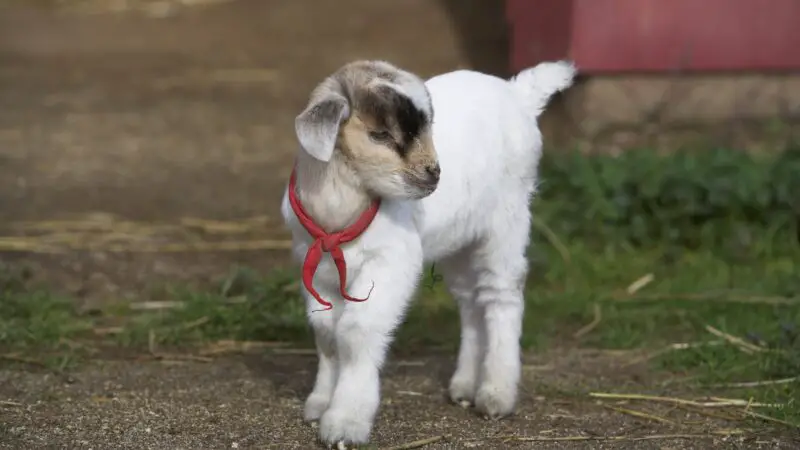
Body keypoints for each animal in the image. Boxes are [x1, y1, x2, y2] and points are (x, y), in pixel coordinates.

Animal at [282, 59, 576, 446]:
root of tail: (518, 94)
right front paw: (319, 402)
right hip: (458, 242)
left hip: (506, 224)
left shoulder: (390, 262)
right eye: (380, 135)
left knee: (501, 297)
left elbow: (356, 331)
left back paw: (496, 394)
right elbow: (326, 333)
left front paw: (346, 422)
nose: (434, 174)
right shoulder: (315, 265)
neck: (341, 206)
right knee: (471, 303)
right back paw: (465, 385)